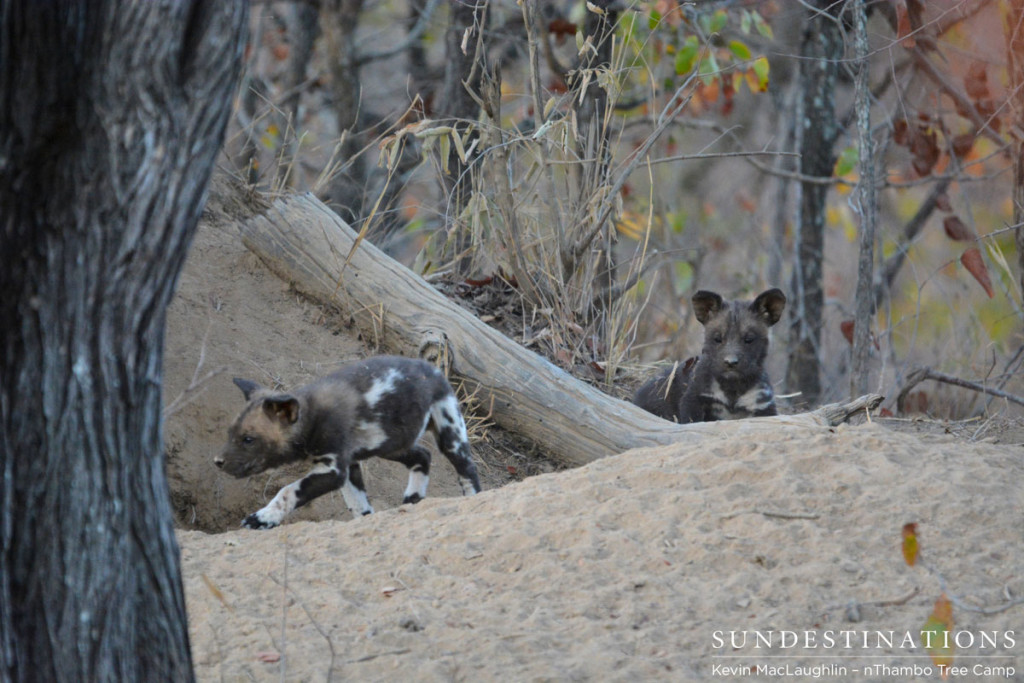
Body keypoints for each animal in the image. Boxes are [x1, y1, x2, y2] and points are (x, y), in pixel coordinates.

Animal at [212, 356, 483, 532]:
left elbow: (287, 491)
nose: (217, 461)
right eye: (229, 434)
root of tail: (432, 368)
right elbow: (359, 506)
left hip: (450, 436)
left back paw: (472, 500)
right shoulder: (349, 467)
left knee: (467, 470)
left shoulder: (333, 470)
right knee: (423, 456)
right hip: (390, 445)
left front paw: (263, 518)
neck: (312, 417)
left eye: (248, 439)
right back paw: (412, 500)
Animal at [634, 286, 786, 421]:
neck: (732, 389)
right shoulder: (694, 401)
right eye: (717, 339)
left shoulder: (763, 406)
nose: (730, 362)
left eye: (749, 339)